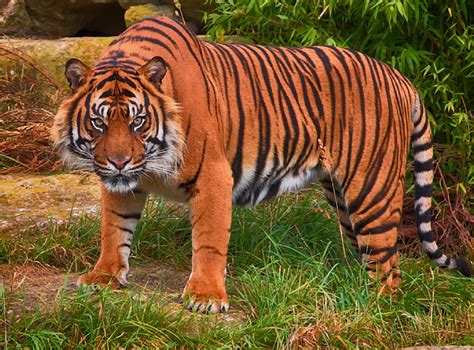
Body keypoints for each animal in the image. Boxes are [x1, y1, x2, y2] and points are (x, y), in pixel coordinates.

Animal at [51, 15, 470, 314]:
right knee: (369, 257)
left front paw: (205, 297)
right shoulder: (121, 185)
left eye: (138, 121)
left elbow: (209, 241)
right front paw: (104, 277)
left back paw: (373, 311)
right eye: (99, 123)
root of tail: (401, 77)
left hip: (372, 191)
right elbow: (113, 229)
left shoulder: (213, 176)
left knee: (389, 269)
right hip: (344, 200)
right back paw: (353, 297)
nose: (119, 161)